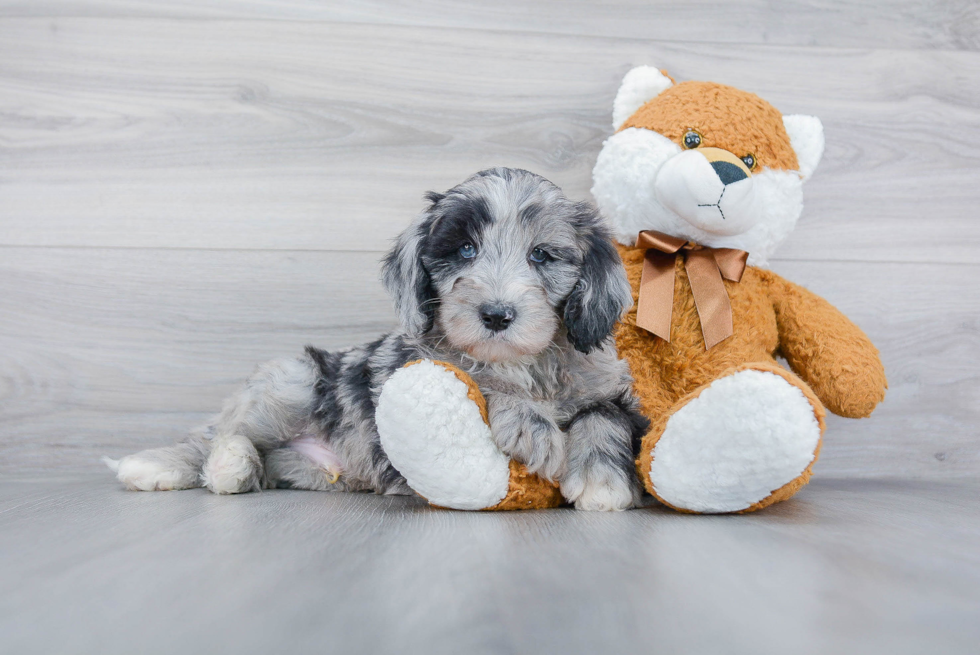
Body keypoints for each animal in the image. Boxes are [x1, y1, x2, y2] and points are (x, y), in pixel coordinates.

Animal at [107, 168, 648, 512]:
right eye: (465, 249)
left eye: (541, 255)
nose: (496, 315)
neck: (527, 363)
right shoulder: (412, 364)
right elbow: (476, 377)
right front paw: (532, 426)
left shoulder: (612, 389)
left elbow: (603, 418)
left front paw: (601, 482)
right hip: (290, 381)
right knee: (217, 433)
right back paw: (185, 464)